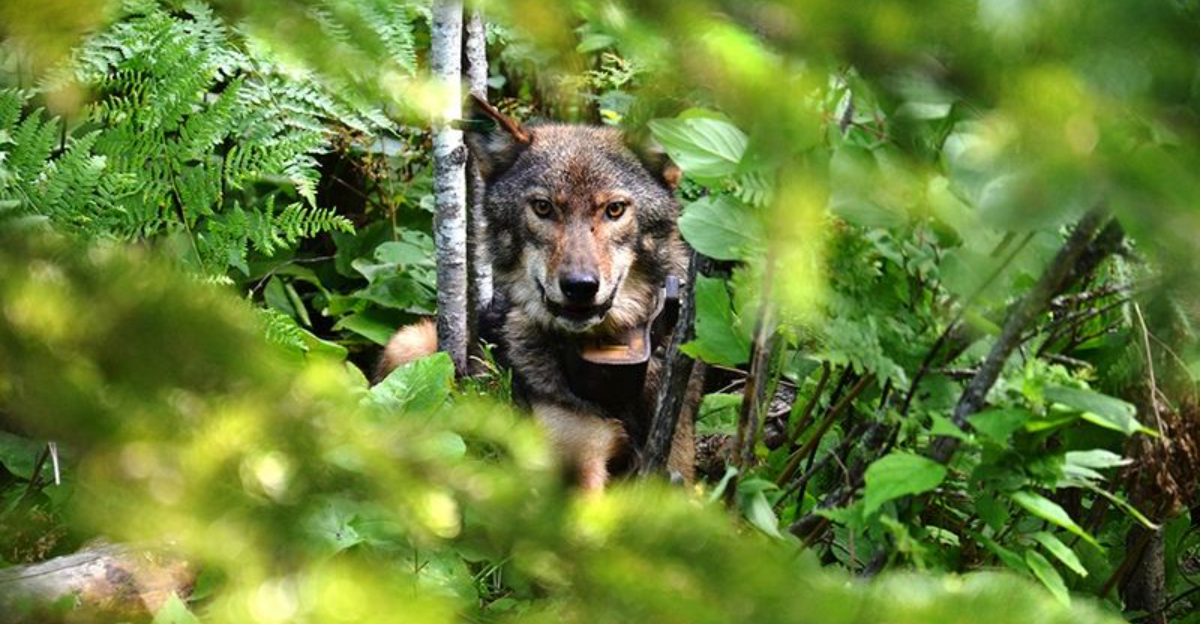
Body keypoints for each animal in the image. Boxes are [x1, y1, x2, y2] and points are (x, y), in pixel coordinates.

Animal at [377, 97, 700, 491]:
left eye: (615, 209)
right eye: (543, 207)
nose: (580, 286)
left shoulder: (676, 458)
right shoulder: (577, 458)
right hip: (409, 343)